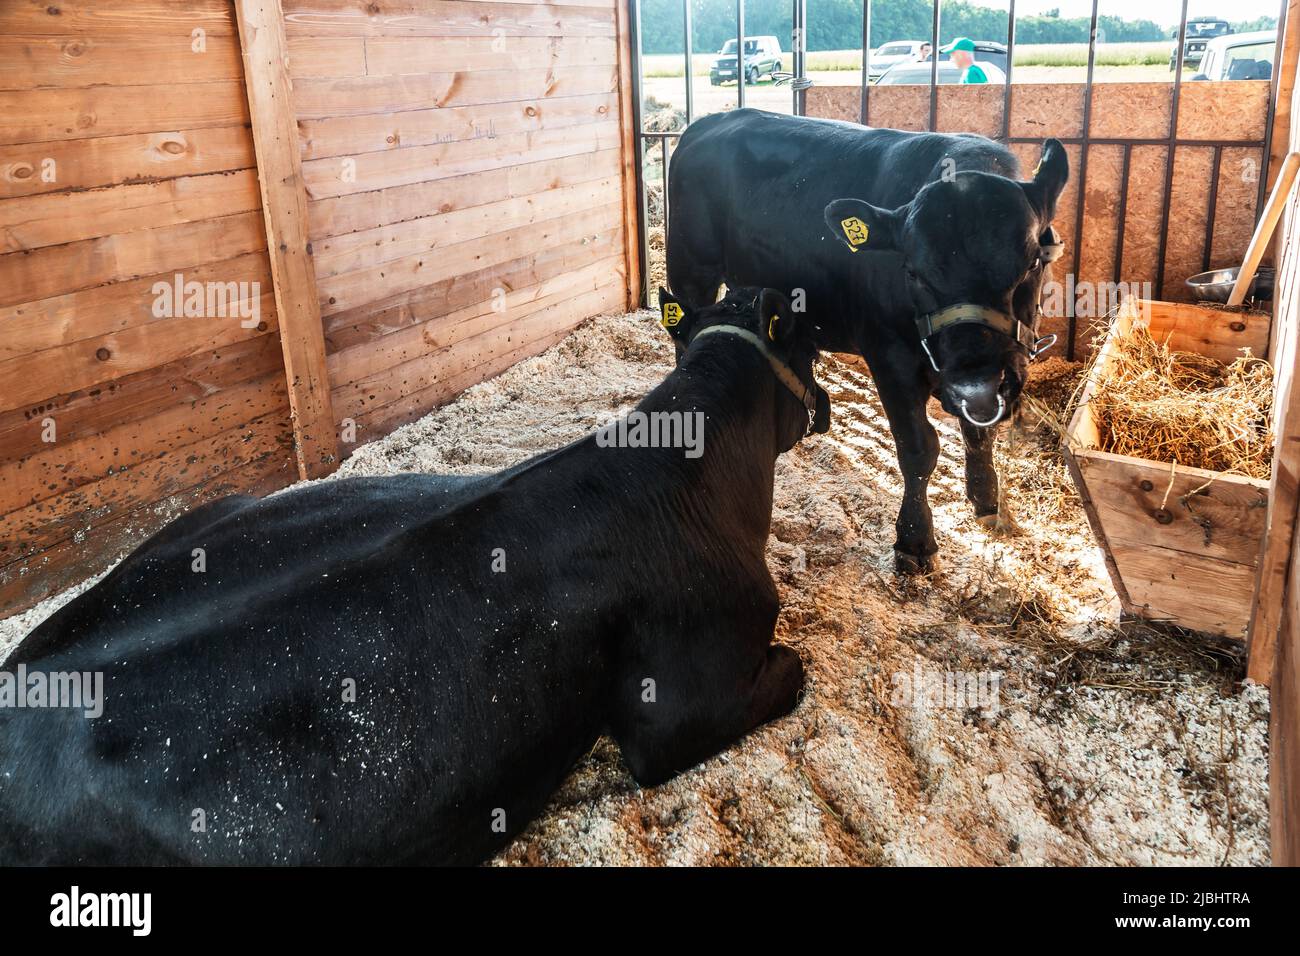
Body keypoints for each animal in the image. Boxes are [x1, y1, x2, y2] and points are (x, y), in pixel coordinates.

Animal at [666, 108, 1069, 572]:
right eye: (912, 271)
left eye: (1032, 265)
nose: (975, 383)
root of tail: (715, 118)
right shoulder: (888, 356)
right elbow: (918, 449)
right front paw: (914, 540)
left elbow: (979, 434)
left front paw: (988, 501)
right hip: (689, 270)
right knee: (684, 334)